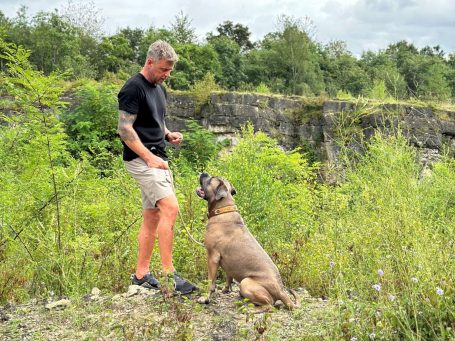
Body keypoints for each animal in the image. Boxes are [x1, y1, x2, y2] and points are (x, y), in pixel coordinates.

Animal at [195, 171, 300, 310]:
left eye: (211, 178)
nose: (204, 172)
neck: (222, 210)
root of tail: (282, 291)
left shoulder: (212, 257)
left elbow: (210, 282)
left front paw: (205, 298)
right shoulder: (228, 263)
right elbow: (228, 276)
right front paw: (226, 289)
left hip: (246, 282)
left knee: (269, 305)